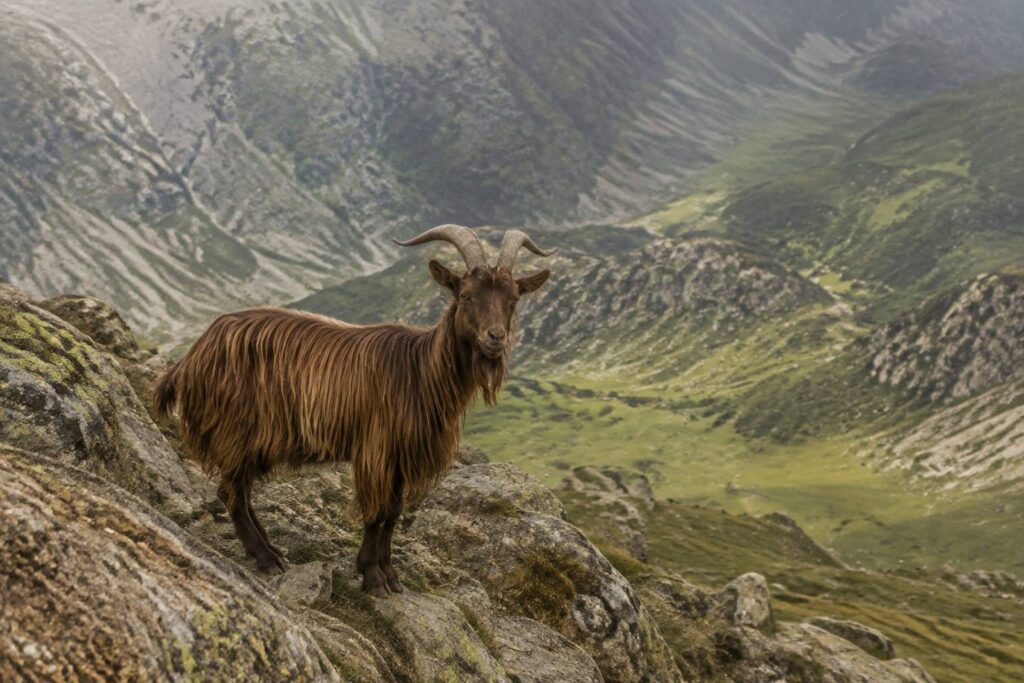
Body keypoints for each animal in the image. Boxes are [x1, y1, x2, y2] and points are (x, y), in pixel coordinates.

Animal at [154, 226, 553, 594]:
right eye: (466, 295)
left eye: (514, 299)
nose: (495, 338)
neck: (419, 370)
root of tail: (193, 354)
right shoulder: (376, 450)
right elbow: (376, 513)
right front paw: (373, 578)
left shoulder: (401, 458)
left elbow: (393, 513)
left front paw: (390, 575)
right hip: (235, 428)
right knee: (231, 493)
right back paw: (266, 559)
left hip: (256, 441)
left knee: (241, 490)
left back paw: (271, 550)